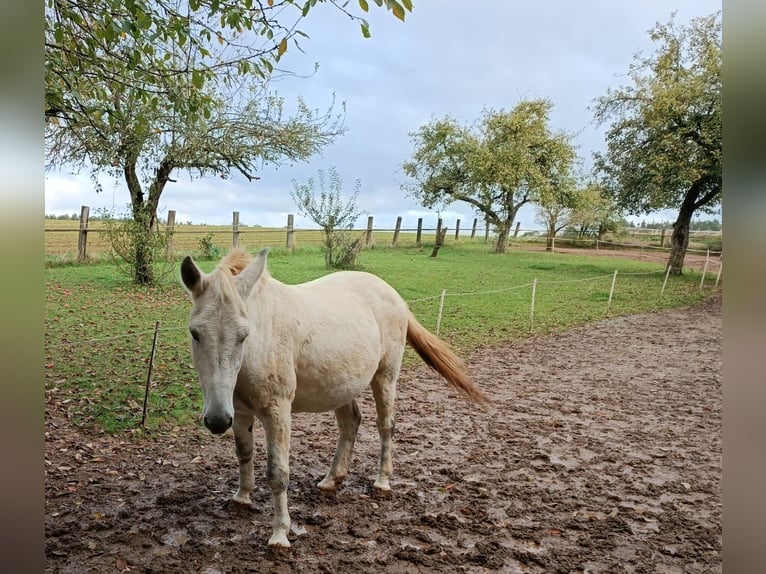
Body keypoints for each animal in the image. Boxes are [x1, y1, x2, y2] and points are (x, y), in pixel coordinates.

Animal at [183, 250, 488, 552]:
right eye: (195, 333)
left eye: (244, 335)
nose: (216, 420)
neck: (260, 344)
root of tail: (393, 295)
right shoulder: (240, 411)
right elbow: (244, 453)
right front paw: (242, 497)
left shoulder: (277, 412)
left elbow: (278, 473)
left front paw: (280, 534)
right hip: (342, 386)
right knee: (350, 423)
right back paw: (332, 479)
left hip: (385, 377)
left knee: (385, 426)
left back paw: (382, 481)